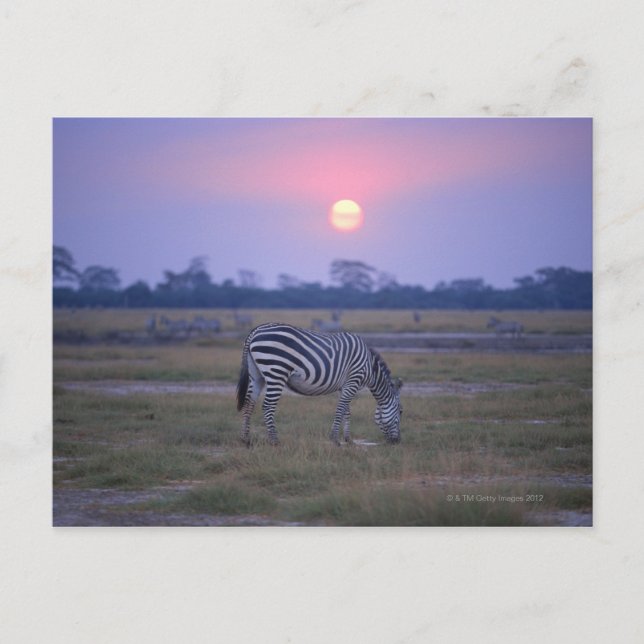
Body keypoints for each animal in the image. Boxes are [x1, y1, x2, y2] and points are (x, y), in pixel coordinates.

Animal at [236, 323, 403, 446]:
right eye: (401, 412)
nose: (397, 441)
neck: (370, 367)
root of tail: (256, 330)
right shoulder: (353, 380)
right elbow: (340, 409)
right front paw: (335, 439)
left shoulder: (346, 385)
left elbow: (346, 411)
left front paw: (348, 439)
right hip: (276, 371)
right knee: (268, 406)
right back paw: (275, 441)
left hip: (256, 375)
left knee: (249, 403)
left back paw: (246, 439)